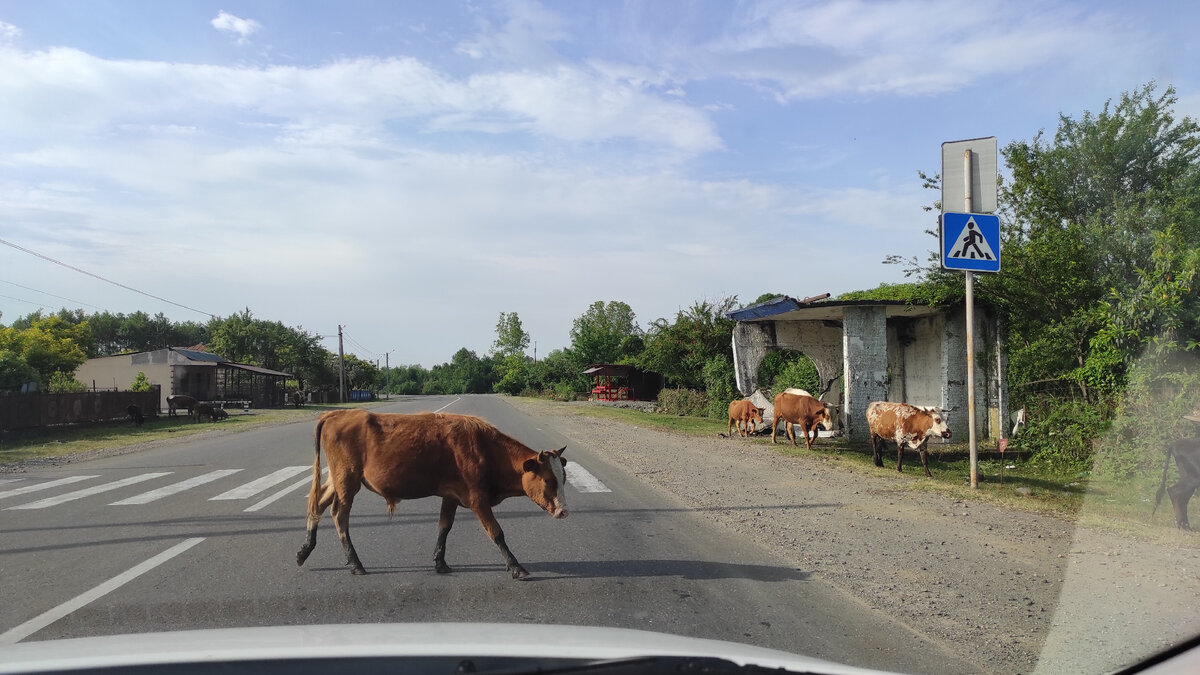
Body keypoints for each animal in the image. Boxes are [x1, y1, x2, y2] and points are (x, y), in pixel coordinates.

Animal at [294, 408, 566, 576]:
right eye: (548, 479)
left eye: (563, 477)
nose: (563, 511)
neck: (483, 446)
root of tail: (338, 413)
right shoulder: (477, 499)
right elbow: (497, 533)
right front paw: (516, 566)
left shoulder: (451, 496)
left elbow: (444, 527)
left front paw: (440, 562)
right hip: (347, 479)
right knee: (339, 514)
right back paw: (355, 562)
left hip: (338, 480)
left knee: (317, 504)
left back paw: (305, 550)